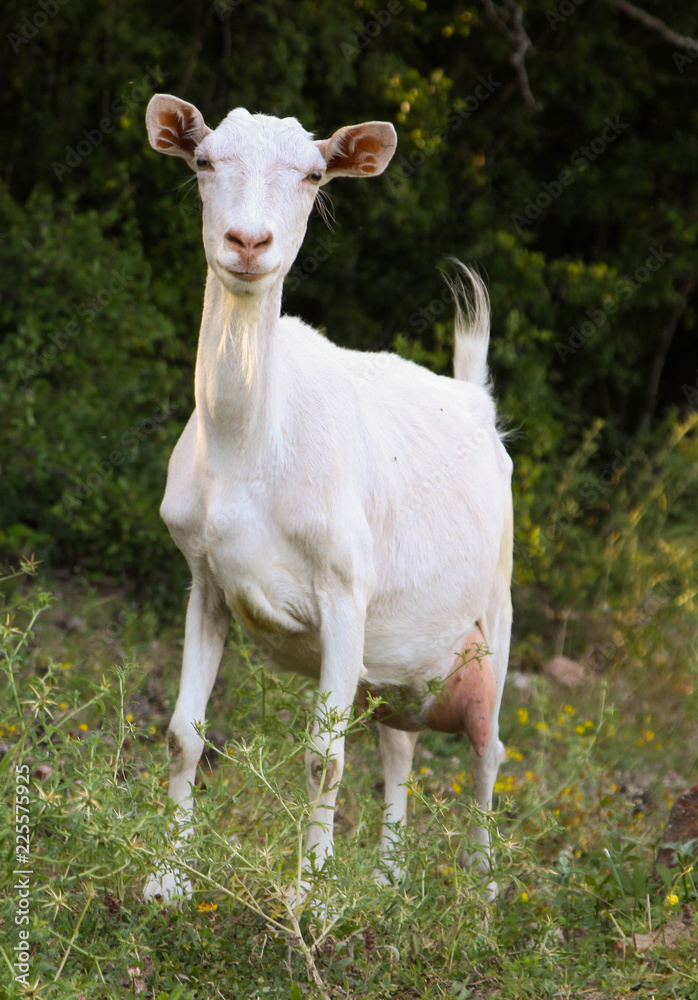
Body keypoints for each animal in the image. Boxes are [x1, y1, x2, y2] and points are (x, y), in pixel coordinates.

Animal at [143, 97, 512, 904]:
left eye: (313, 175)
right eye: (204, 161)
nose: (249, 242)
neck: (251, 451)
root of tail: (476, 399)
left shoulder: (345, 588)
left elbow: (324, 758)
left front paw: (308, 899)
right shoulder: (205, 578)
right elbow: (184, 733)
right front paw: (166, 882)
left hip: (497, 603)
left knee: (489, 747)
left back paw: (479, 890)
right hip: (399, 657)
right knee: (400, 745)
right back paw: (388, 879)